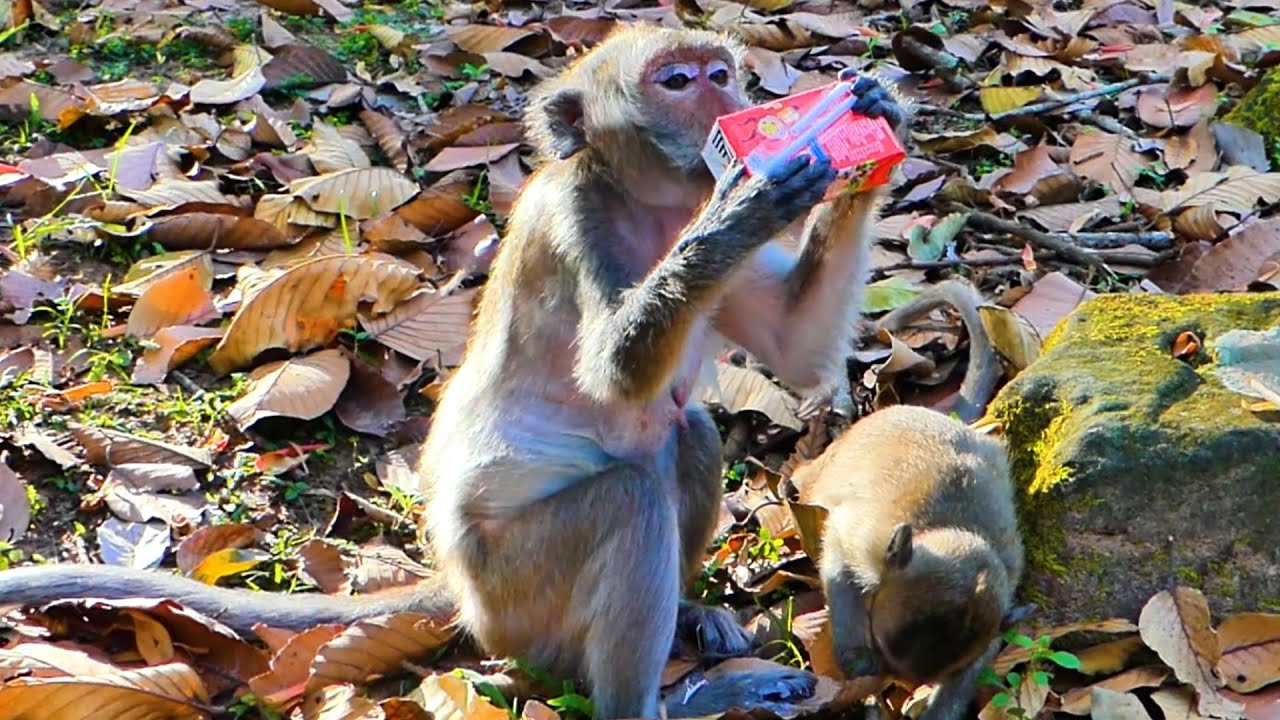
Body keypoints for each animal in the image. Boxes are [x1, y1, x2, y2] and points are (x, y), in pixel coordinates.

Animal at [0, 23, 908, 719]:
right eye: (678, 81)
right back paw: (657, 702)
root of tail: (466, 594)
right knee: (629, 496)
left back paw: (688, 620)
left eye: (721, 73)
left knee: (684, 430)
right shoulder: (573, 220)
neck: (649, 203)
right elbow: (618, 375)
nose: (728, 101)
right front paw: (746, 201)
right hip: (518, 594)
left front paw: (870, 122)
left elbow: (795, 348)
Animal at [790, 404, 1030, 720]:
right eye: (879, 647)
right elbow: (837, 553)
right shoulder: (868, 543)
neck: (946, 527)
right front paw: (856, 657)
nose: (892, 682)